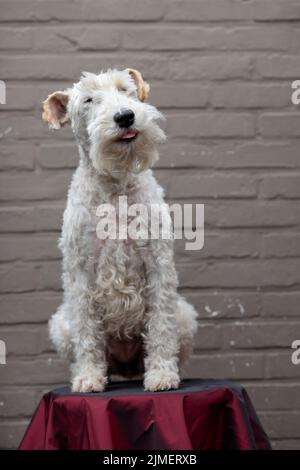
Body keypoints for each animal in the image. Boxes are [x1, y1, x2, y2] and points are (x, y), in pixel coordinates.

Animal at [41, 68, 197, 392]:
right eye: (88, 99)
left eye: (125, 89)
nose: (125, 116)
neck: (115, 185)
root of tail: (126, 367)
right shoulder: (80, 274)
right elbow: (87, 333)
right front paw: (88, 378)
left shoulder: (157, 265)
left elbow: (161, 327)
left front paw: (161, 375)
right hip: (61, 325)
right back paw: (89, 373)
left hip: (186, 317)